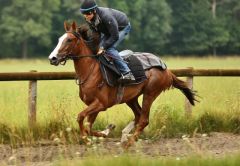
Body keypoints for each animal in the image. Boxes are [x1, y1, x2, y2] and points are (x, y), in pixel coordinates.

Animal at [48, 21, 197, 147]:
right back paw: (125, 135)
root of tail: (167, 70)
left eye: (69, 39)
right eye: (59, 39)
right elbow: (88, 126)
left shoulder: (100, 104)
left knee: (144, 119)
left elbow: (80, 118)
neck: (91, 71)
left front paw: (87, 139)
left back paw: (129, 142)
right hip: (131, 98)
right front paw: (105, 131)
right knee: (138, 115)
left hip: (150, 93)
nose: (52, 58)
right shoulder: (94, 105)